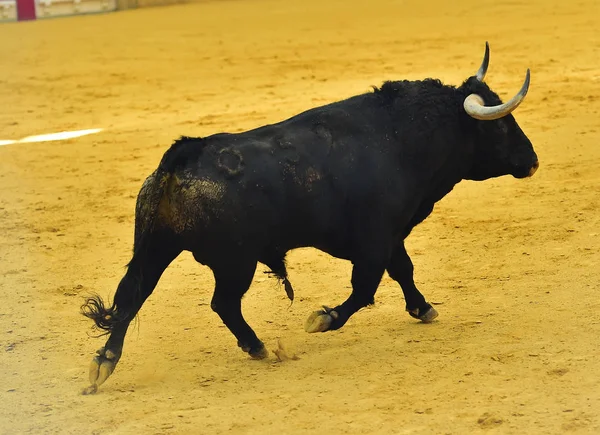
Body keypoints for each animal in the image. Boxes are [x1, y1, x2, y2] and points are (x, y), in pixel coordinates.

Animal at [81, 42, 540, 394]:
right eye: (501, 126)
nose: (533, 160)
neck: (402, 137)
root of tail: (181, 156)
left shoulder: (390, 236)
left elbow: (403, 271)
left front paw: (423, 308)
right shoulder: (375, 240)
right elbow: (365, 288)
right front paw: (323, 319)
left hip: (156, 247)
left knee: (132, 296)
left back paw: (104, 364)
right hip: (234, 262)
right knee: (222, 303)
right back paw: (258, 347)